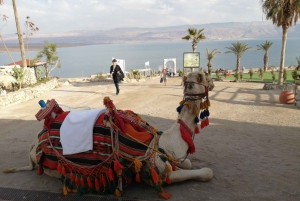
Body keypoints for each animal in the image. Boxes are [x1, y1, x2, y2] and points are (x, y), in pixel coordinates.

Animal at [2, 71, 213, 199]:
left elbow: (187, 162)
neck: (166, 141)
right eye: (203, 76)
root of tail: (34, 145)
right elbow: (206, 173)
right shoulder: (157, 174)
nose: (212, 81)